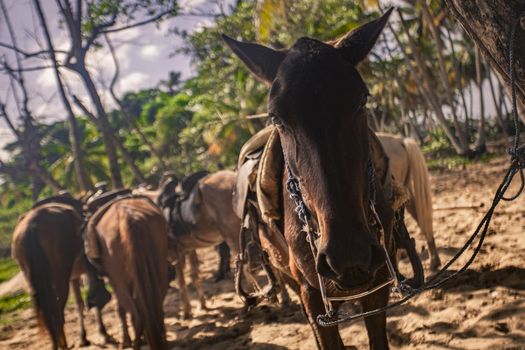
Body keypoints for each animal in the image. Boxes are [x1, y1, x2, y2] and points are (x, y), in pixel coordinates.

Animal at [12, 201, 109, 348]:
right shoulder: (85, 272)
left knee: (48, 315)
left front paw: (84, 337)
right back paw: (63, 344)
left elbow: (79, 303)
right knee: (57, 314)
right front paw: (102, 333)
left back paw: (56, 344)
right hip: (60, 278)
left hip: (35, 280)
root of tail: (31, 225)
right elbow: (90, 300)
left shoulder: (74, 276)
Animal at [86, 196, 168, 348]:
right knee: (157, 299)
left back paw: (137, 342)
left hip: (119, 278)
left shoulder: (113, 278)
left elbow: (121, 309)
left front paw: (126, 341)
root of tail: (128, 216)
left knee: (136, 310)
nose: (90, 301)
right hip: (159, 264)